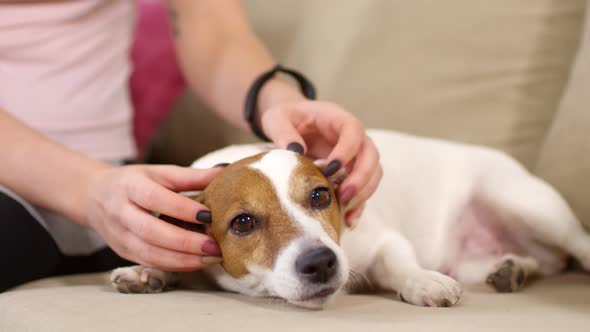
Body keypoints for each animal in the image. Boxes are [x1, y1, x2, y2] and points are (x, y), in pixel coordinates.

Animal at [112, 128, 590, 308]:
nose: (321, 262)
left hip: (529, 205)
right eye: (242, 223)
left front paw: (421, 281)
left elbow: (400, 263)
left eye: (320, 195)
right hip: (478, 255)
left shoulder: (382, 239)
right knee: (537, 262)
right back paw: (510, 268)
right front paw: (145, 269)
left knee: (576, 246)